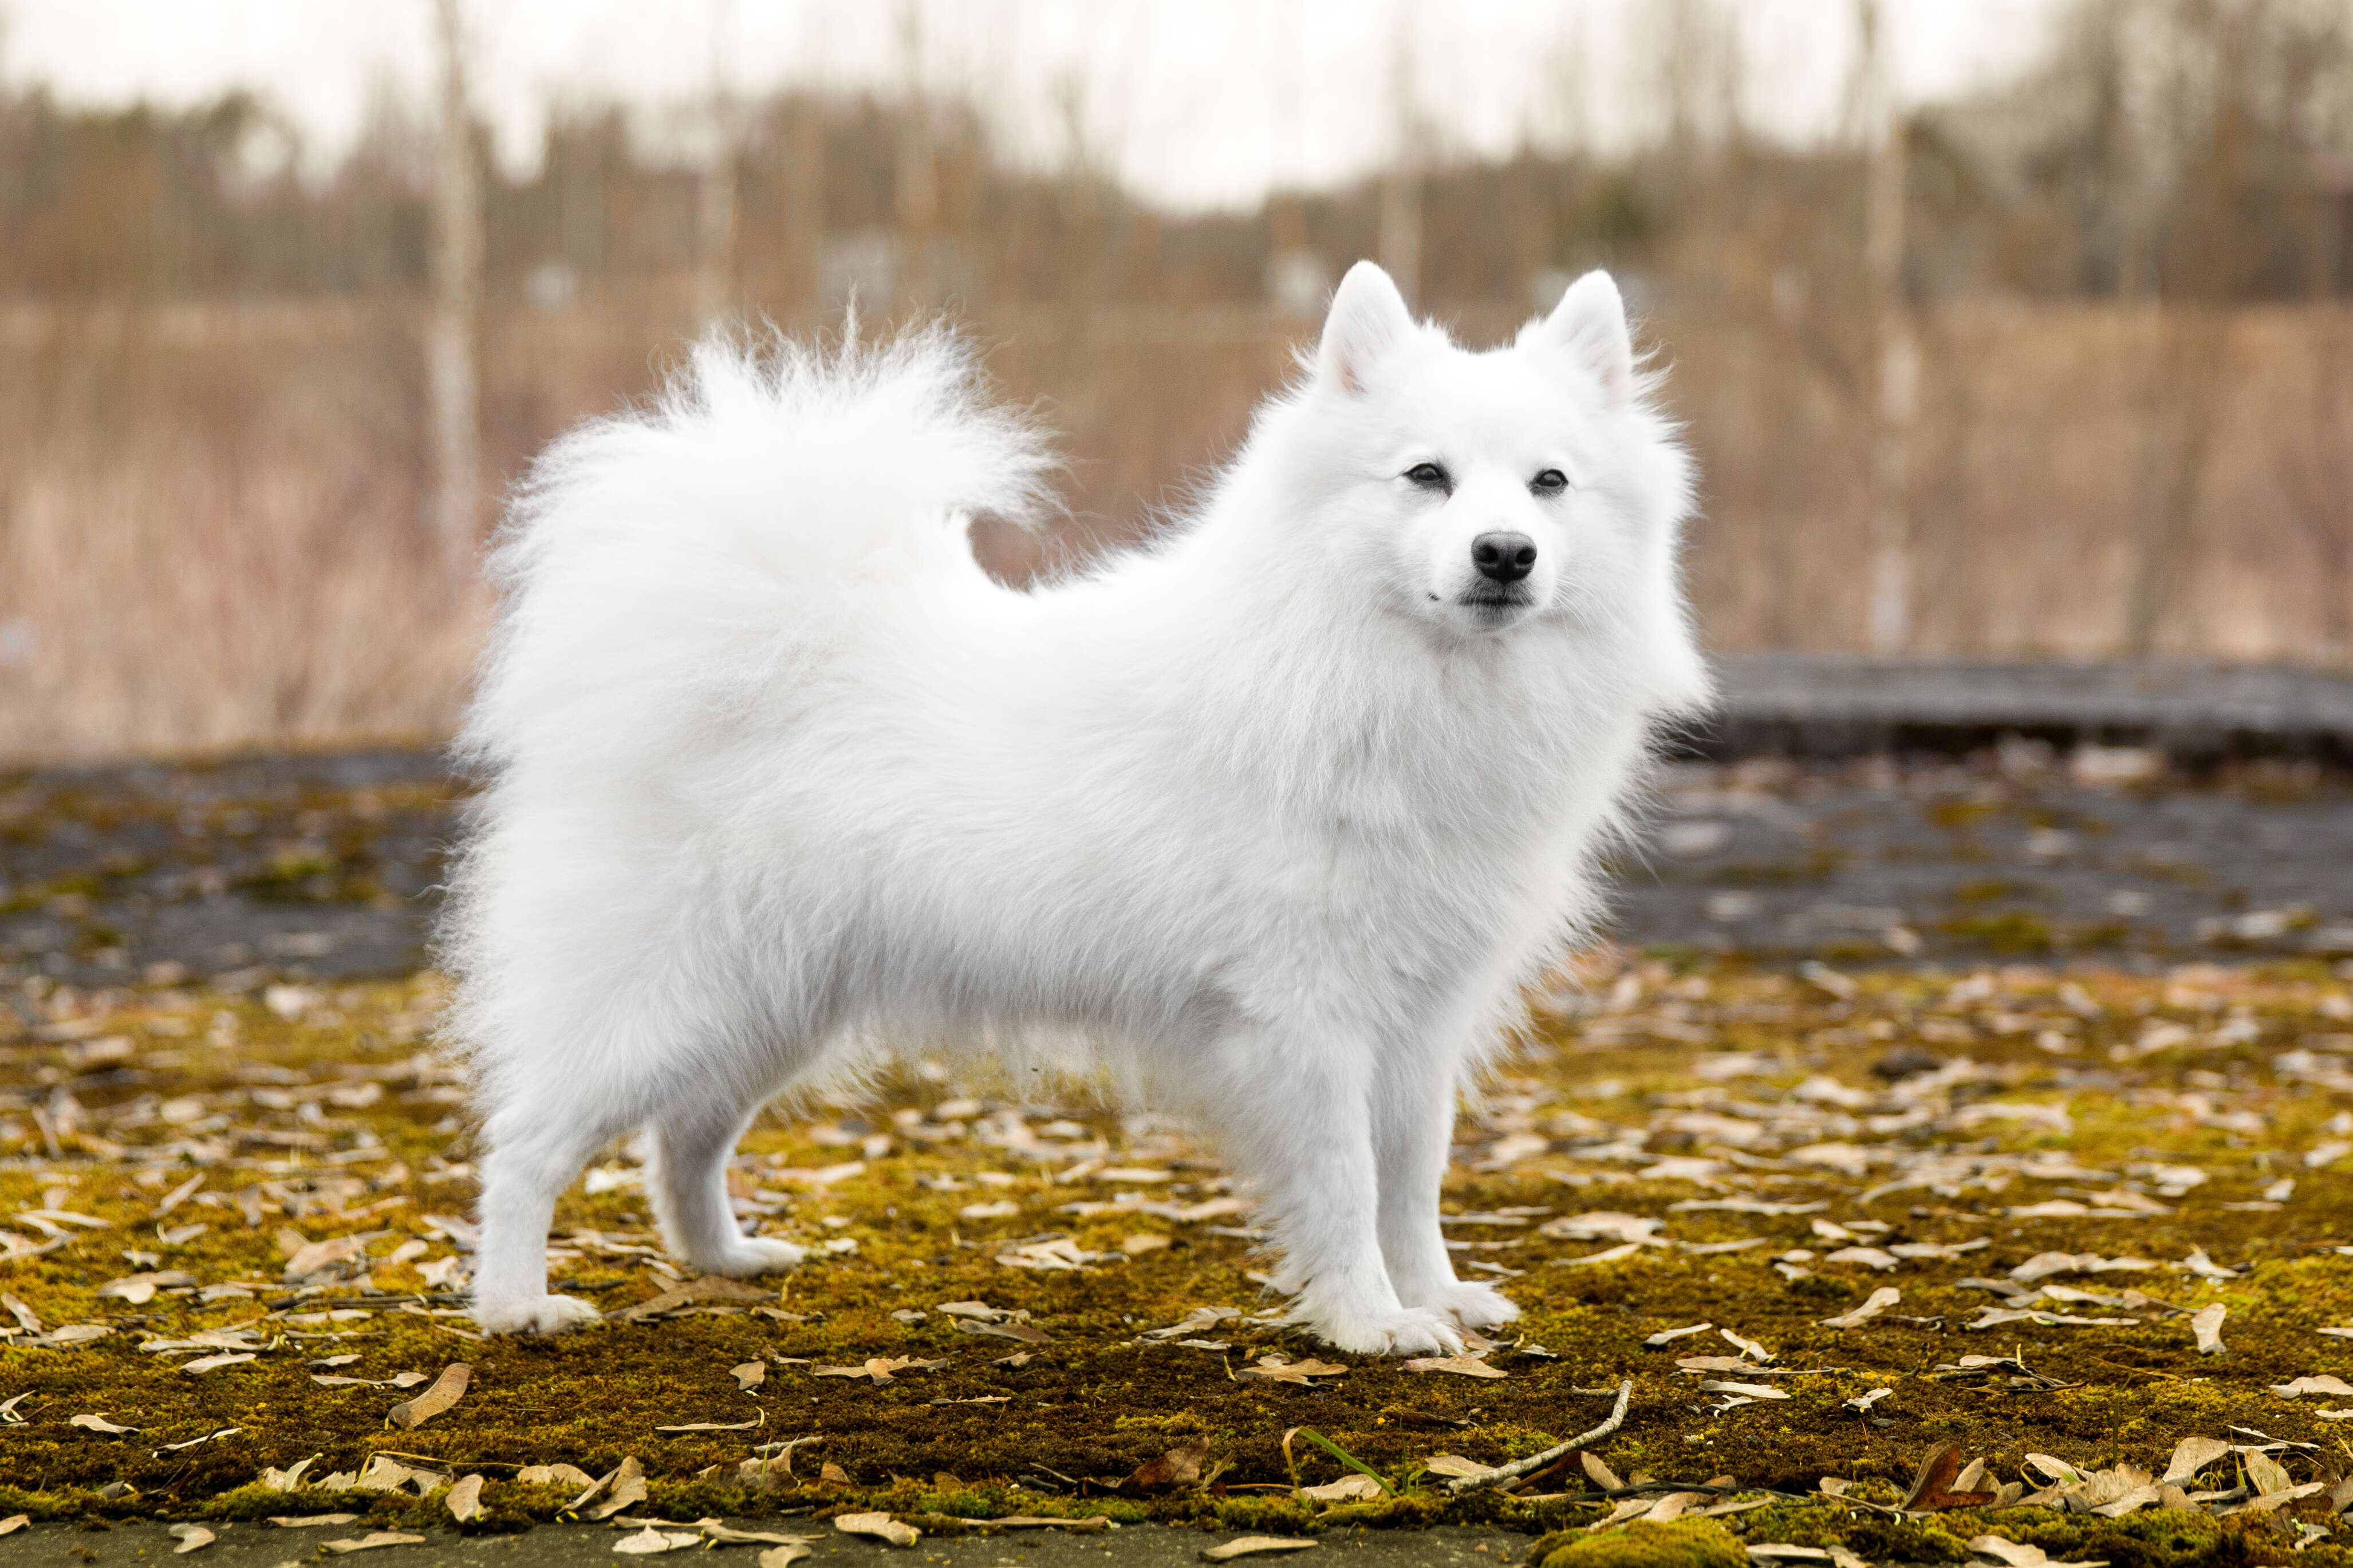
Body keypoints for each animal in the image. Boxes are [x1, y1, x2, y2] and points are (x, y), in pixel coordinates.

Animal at [444, 263, 1713, 1354]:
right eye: (1425, 477)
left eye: (1548, 483)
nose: (1504, 553)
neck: (1367, 668)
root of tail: (774, 635)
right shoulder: (1306, 1019)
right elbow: (1348, 1183)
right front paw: (1368, 1321)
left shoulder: (1418, 1019)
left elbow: (1412, 1179)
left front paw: (1436, 1295)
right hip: (667, 998)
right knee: (525, 1142)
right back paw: (514, 1304)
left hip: (769, 1003)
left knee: (685, 1135)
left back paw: (724, 1256)